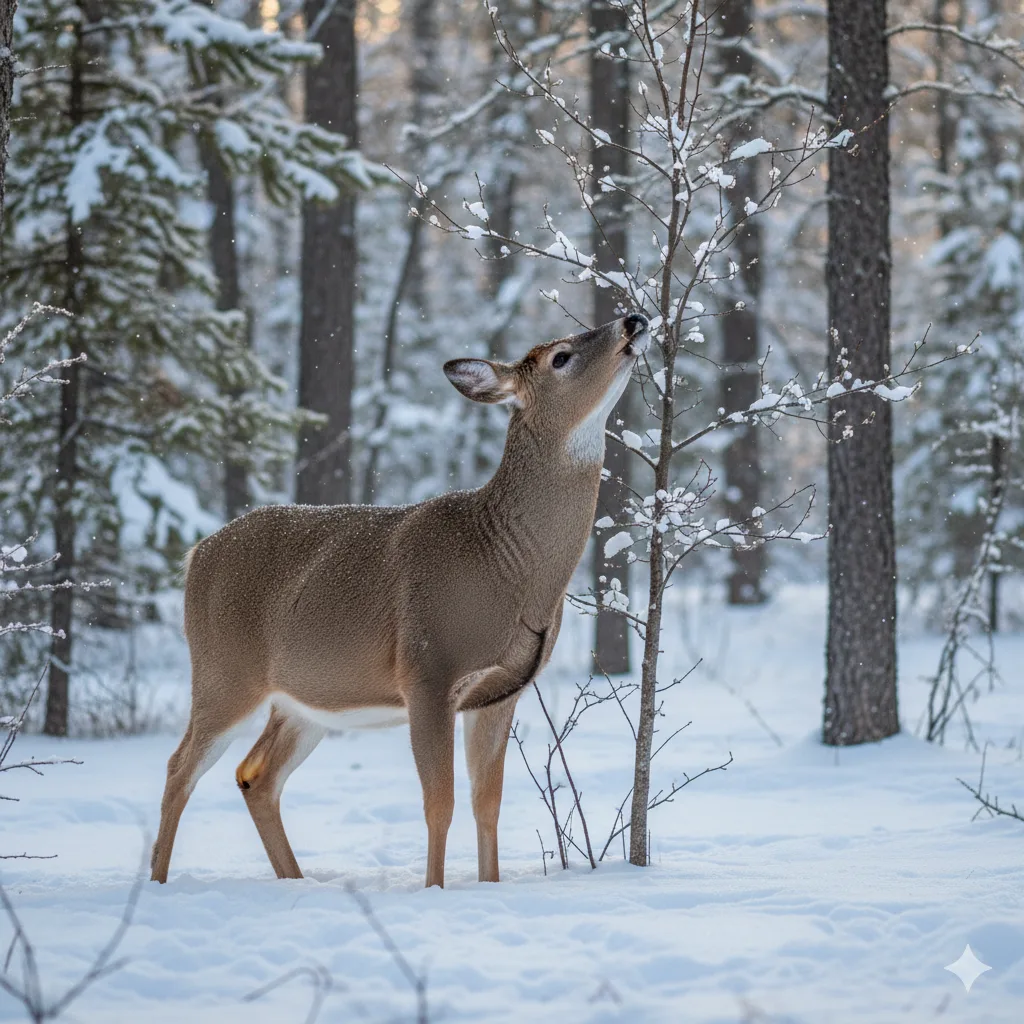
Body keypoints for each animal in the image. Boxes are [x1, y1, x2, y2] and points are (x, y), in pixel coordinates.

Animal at [150, 313, 649, 888]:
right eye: (560, 357)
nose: (634, 319)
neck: (508, 566)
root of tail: (196, 554)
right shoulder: (428, 672)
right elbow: (440, 804)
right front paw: (434, 890)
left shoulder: (500, 692)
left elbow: (487, 805)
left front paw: (490, 886)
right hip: (224, 672)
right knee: (179, 766)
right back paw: (157, 882)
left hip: (302, 701)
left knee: (256, 774)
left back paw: (296, 880)